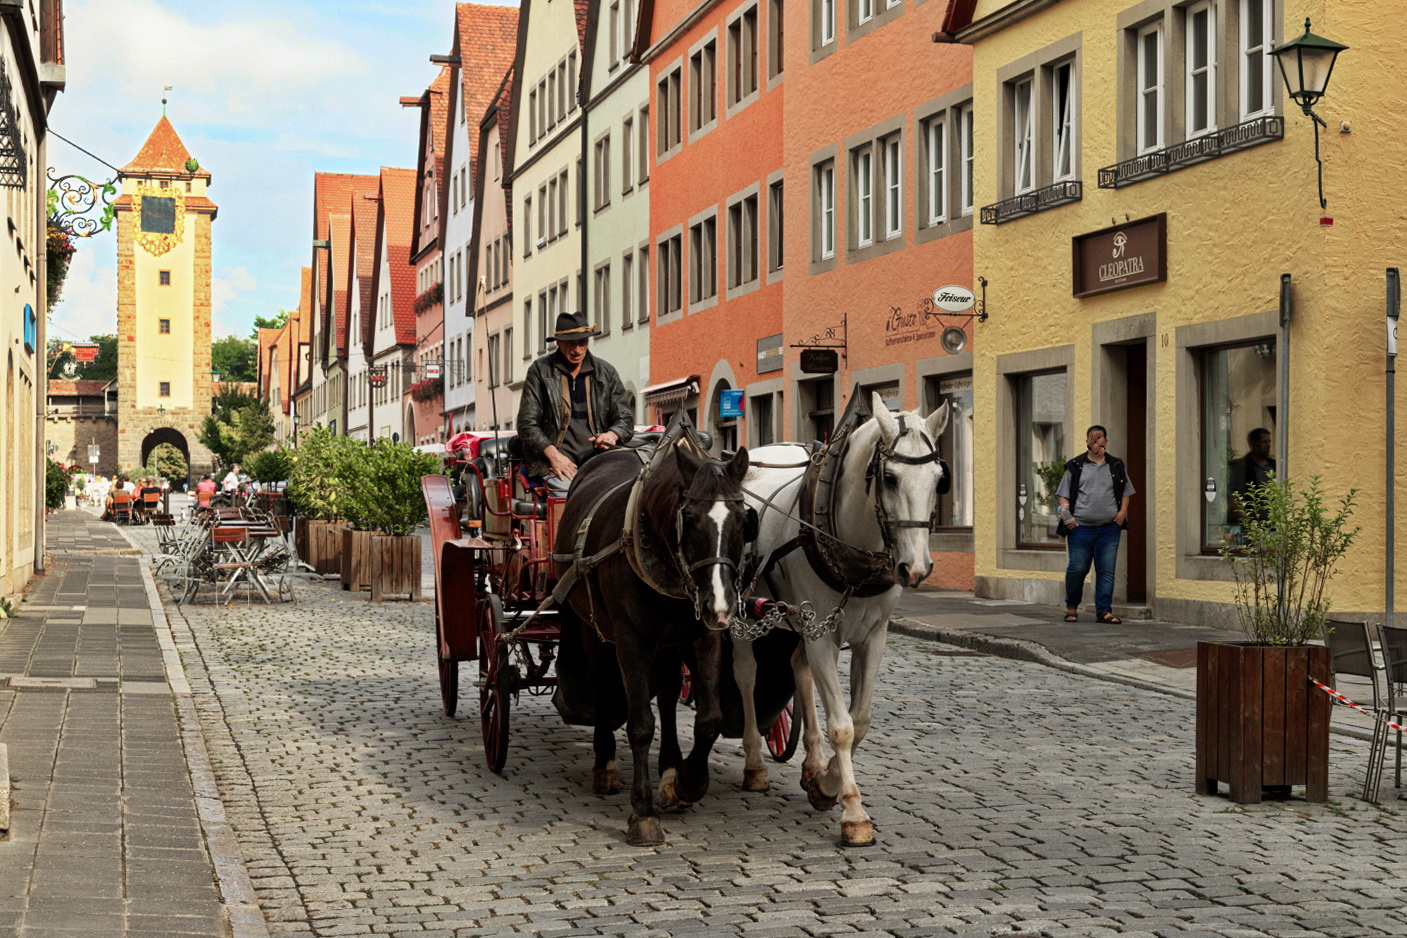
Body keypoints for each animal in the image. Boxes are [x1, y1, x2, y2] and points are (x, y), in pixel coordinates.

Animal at [551, 444, 754, 849]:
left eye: (743, 520)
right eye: (688, 518)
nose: (721, 604)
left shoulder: (704, 636)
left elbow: (709, 718)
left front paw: (689, 780)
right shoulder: (631, 639)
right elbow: (641, 724)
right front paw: (643, 814)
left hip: (668, 645)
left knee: (668, 693)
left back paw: (671, 771)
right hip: (593, 628)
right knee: (602, 683)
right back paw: (605, 765)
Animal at [731, 393, 951, 849]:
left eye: (940, 479)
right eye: (889, 477)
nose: (915, 568)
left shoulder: (872, 636)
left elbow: (860, 718)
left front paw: (824, 784)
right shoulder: (822, 638)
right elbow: (843, 726)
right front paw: (852, 811)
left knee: (798, 668)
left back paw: (811, 763)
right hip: (745, 611)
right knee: (746, 674)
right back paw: (755, 763)